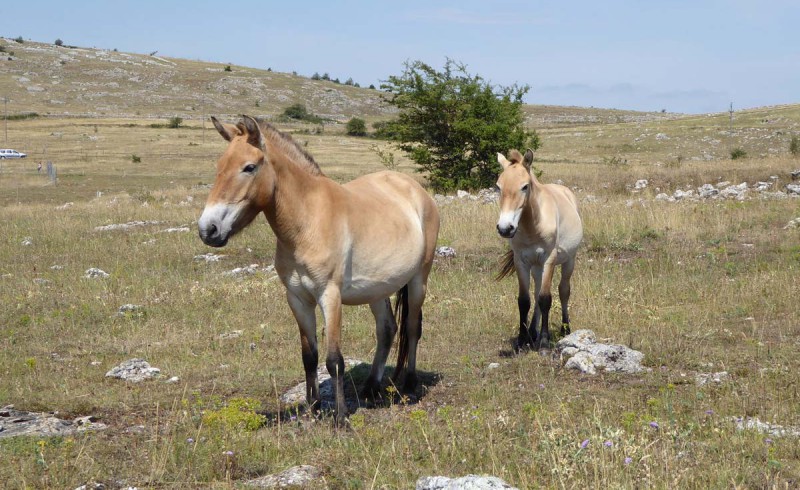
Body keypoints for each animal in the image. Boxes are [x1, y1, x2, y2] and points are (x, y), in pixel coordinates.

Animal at [197, 115, 440, 425]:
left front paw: (340, 417)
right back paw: (371, 389)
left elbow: (334, 360)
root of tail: (416, 190)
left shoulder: (330, 295)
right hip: (378, 288)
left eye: (249, 167)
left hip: (420, 278)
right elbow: (309, 355)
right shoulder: (298, 299)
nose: (208, 229)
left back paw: (409, 385)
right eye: (219, 167)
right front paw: (313, 407)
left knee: (412, 327)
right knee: (387, 329)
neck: (307, 221)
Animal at [495, 149, 583, 352]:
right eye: (498, 187)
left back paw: (565, 329)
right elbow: (524, 300)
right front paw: (522, 340)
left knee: (563, 291)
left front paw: (543, 343)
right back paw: (533, 332)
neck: (532, 226)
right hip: (536, 267)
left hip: (569, 261)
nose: (505, 228)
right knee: (535, 293)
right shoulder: (521, 261)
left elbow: (545, 299)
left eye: (524, 187)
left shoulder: (549, 259)